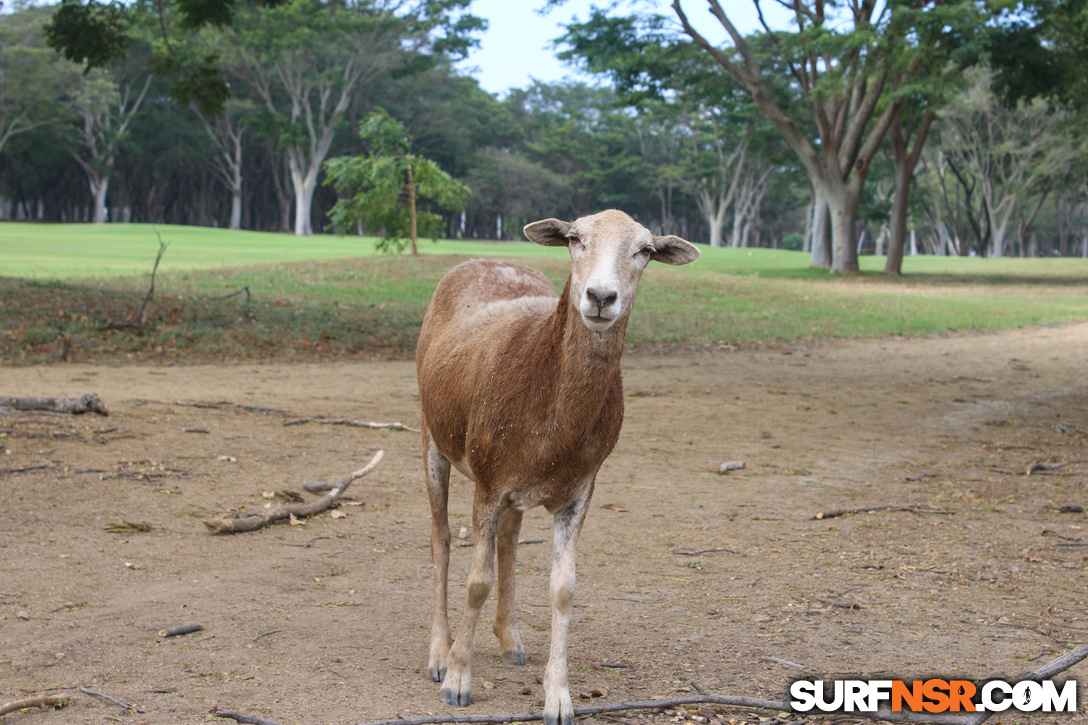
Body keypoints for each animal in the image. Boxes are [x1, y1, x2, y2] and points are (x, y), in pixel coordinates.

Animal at [411, 209, 700, 722]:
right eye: (574, 238)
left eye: (645, 250)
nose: (601, 297)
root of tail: (482, 259)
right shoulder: (488, 482)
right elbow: (477, 581)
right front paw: (458, 682)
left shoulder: (580, 489)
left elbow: (563, 588)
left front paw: (559, 698)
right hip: (432, 434)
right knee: (440, 541)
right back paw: (439, 654)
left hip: (515, 487)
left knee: (508, 542)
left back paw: (509, 639)